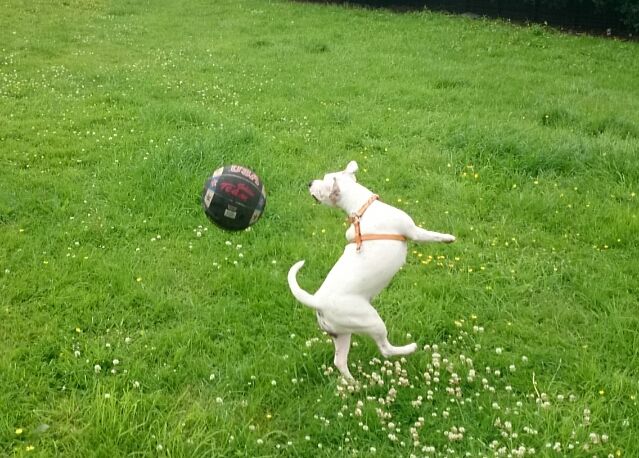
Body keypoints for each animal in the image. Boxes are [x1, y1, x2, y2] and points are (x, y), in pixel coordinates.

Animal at [290, 161, 456, 382]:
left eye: (323, 178)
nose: (309, 183)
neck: (362, 209)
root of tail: (318, 301)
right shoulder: (412, 231)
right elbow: (430, 235)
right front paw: (448, 238)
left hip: (342, 333)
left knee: (339, 361)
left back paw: (354, 384)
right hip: (371, 320)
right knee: (385, 348)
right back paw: (409, 348)